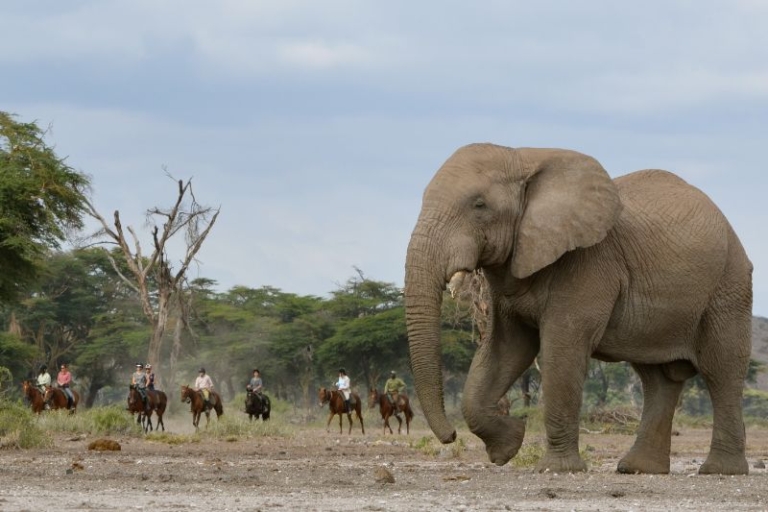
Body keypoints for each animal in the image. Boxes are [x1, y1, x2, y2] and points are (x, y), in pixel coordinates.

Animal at [404, 143, 752, 475]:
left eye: (479, 205)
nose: (450, 436)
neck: (524, 159)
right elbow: (504, 351)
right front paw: (508, 446)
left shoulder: (589, 261)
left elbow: (562, 350)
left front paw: (555, 468)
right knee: (657, 380)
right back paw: (637, 469)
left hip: (728, 285)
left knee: (721, 369)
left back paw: (720, 471)